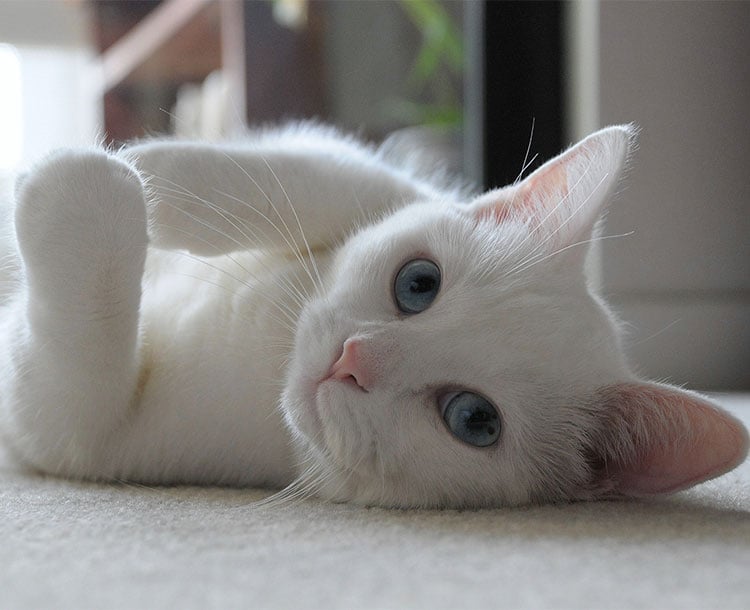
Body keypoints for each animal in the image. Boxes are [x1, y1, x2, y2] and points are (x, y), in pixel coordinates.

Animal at [0, 122, 748, 504]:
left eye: (473, 420)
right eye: (418, 283)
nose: (351, 360)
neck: (268, 349)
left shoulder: (80, 436)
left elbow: (75, 373)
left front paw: (90, 184)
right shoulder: (378, 176)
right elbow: (334, 174)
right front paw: (164, 175)